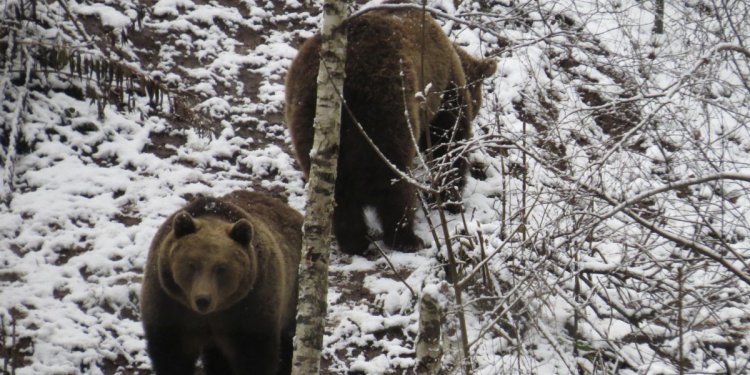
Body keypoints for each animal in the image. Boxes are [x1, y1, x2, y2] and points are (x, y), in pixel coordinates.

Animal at [140, 191, 304, 375]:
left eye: (221, 268)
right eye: (191, 264)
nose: (203, 300)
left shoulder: (250, 307)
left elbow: (256, 357)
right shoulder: (170, 305)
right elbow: (171, 355)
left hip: (292, 297)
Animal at [284, 4, 496, 256]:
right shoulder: (443, 91)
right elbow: (448, 143)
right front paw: (450, 197)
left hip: (308, 119)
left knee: (336, 189)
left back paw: (354, 240)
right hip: (387, 107)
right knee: (393, 179)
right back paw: (406, 237)